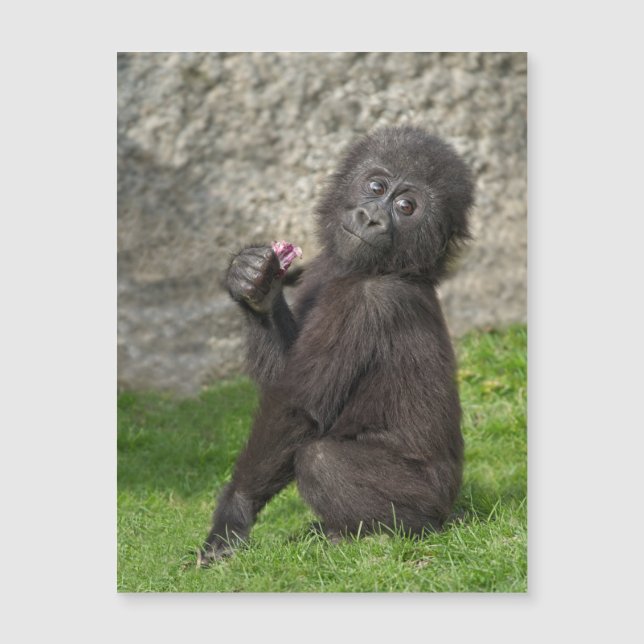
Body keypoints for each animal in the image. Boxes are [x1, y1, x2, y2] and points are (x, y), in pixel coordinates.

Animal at [198, 126, 474, 565]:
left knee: (320, 460)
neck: (394, 267)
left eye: (407, 207)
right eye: (375, 186)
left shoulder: (368, 302)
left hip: (432, 498)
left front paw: (234, 512)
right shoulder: (325, 267)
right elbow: (285, 380)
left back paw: (388, 532)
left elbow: (299, 409)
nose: (371, 217)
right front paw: (255, 285)